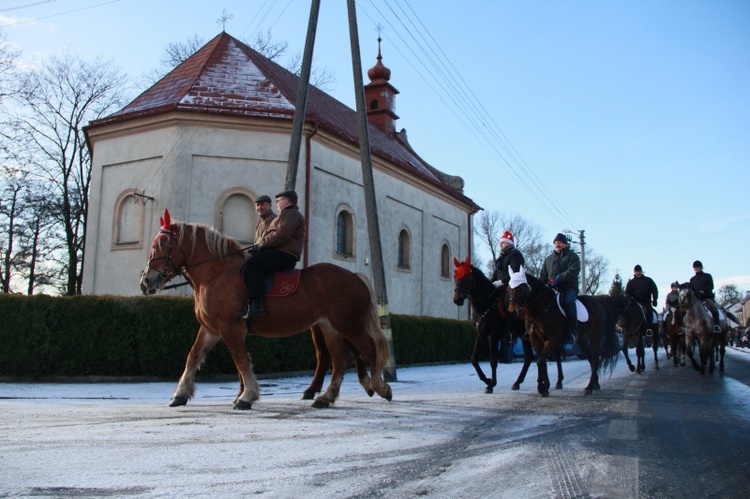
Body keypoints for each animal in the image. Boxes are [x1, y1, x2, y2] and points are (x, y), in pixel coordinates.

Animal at [139, 211, 394, 410]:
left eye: (162, 244)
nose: (146, 281)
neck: (216, 273)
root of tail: (356, 277)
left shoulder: (230, 328)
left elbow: (241, 360)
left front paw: (246, 396)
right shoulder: (210, 329)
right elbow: (193, 357)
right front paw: (180, 394)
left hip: (349, 325)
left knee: (369, 350)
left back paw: (380, 387)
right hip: (329, 327)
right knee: (339, 360)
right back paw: (325, 397)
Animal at [452, 258, 564, 394]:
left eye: (467, 278)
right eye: (456, 277)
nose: (457, 299)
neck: (487, 304)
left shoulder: (493, 336)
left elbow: (493, 361)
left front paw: (491, 384)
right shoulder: (481, 335)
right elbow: (473, 359)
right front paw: (487, 380)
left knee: (554, 354)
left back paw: (557, 382)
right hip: (527, 337)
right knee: (529, 357)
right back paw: (519, 382)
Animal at [506, 268, 624, 396]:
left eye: (522, 288)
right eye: (509, 288)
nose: (512, 312)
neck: (540, 311)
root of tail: (598, 302)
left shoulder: (552, 339)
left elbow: (540, 361)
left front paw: (543, 388)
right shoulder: (535, 341)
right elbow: (541, 362)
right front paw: (543, 386)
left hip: (595, 338)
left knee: (595, 359)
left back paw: (589, 387)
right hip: (582, 340)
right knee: (591, 359)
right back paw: (595, 384)